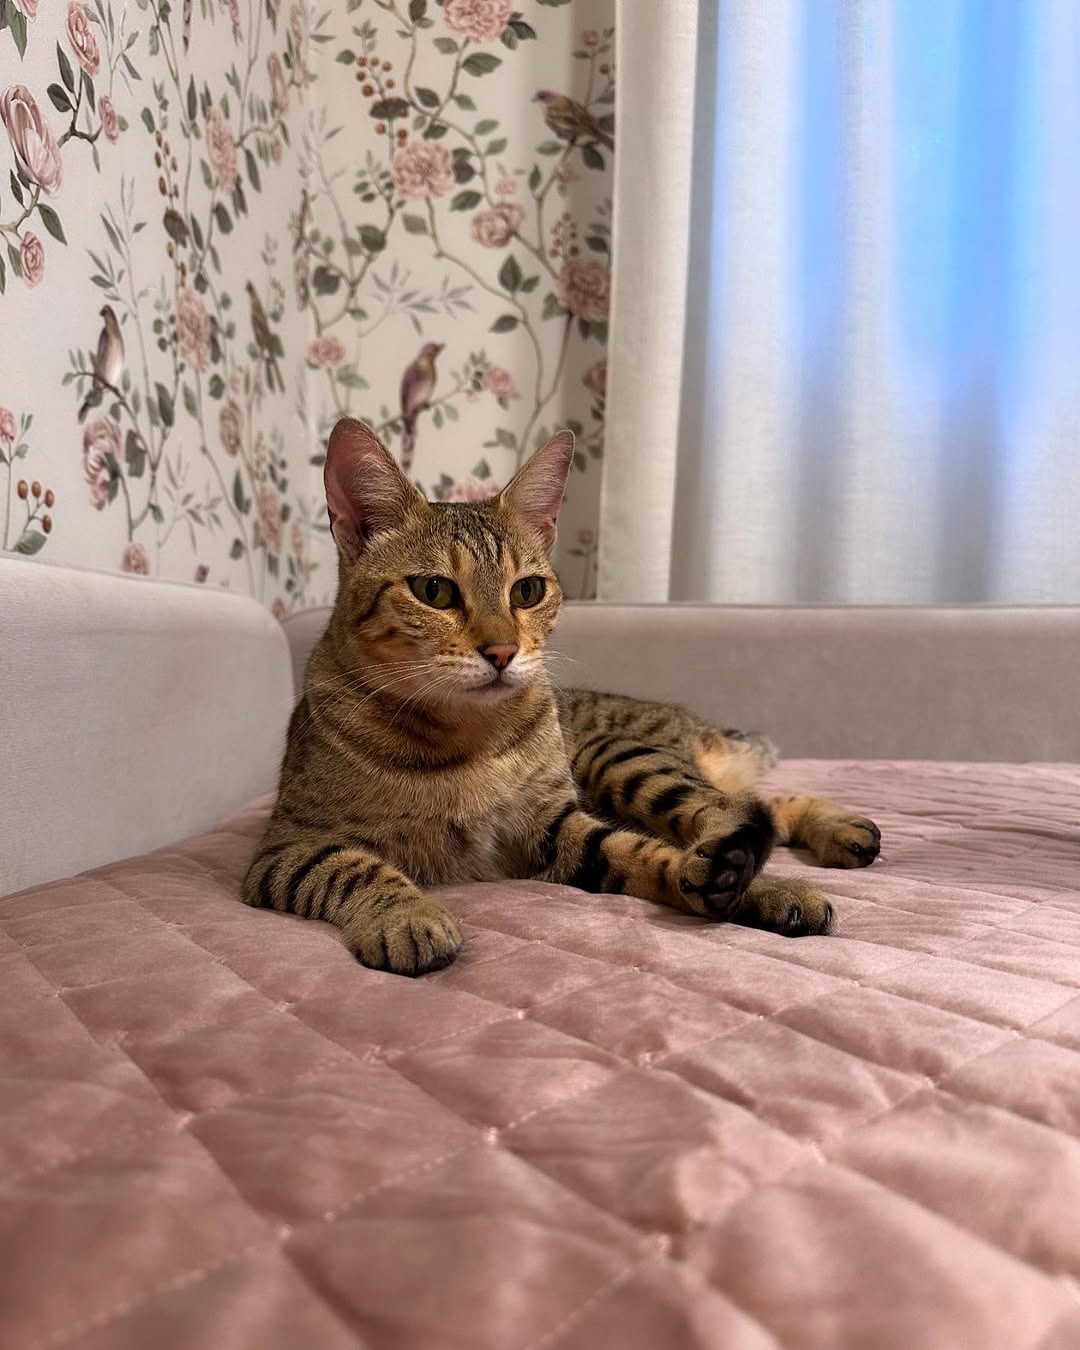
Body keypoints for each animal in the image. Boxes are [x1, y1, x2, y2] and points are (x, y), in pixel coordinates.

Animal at [242, 418, 881, 976]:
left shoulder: (556, 825)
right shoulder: (287, 848)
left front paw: (754, 883)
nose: (502, 652)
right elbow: (355, 867)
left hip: (620, 756)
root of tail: (691, 725)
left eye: (527, 591)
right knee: (754, 805)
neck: (461, 739)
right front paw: (407, 915)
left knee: (736, 807)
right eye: (433, 591)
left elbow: (647, 853)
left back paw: (825, 834)